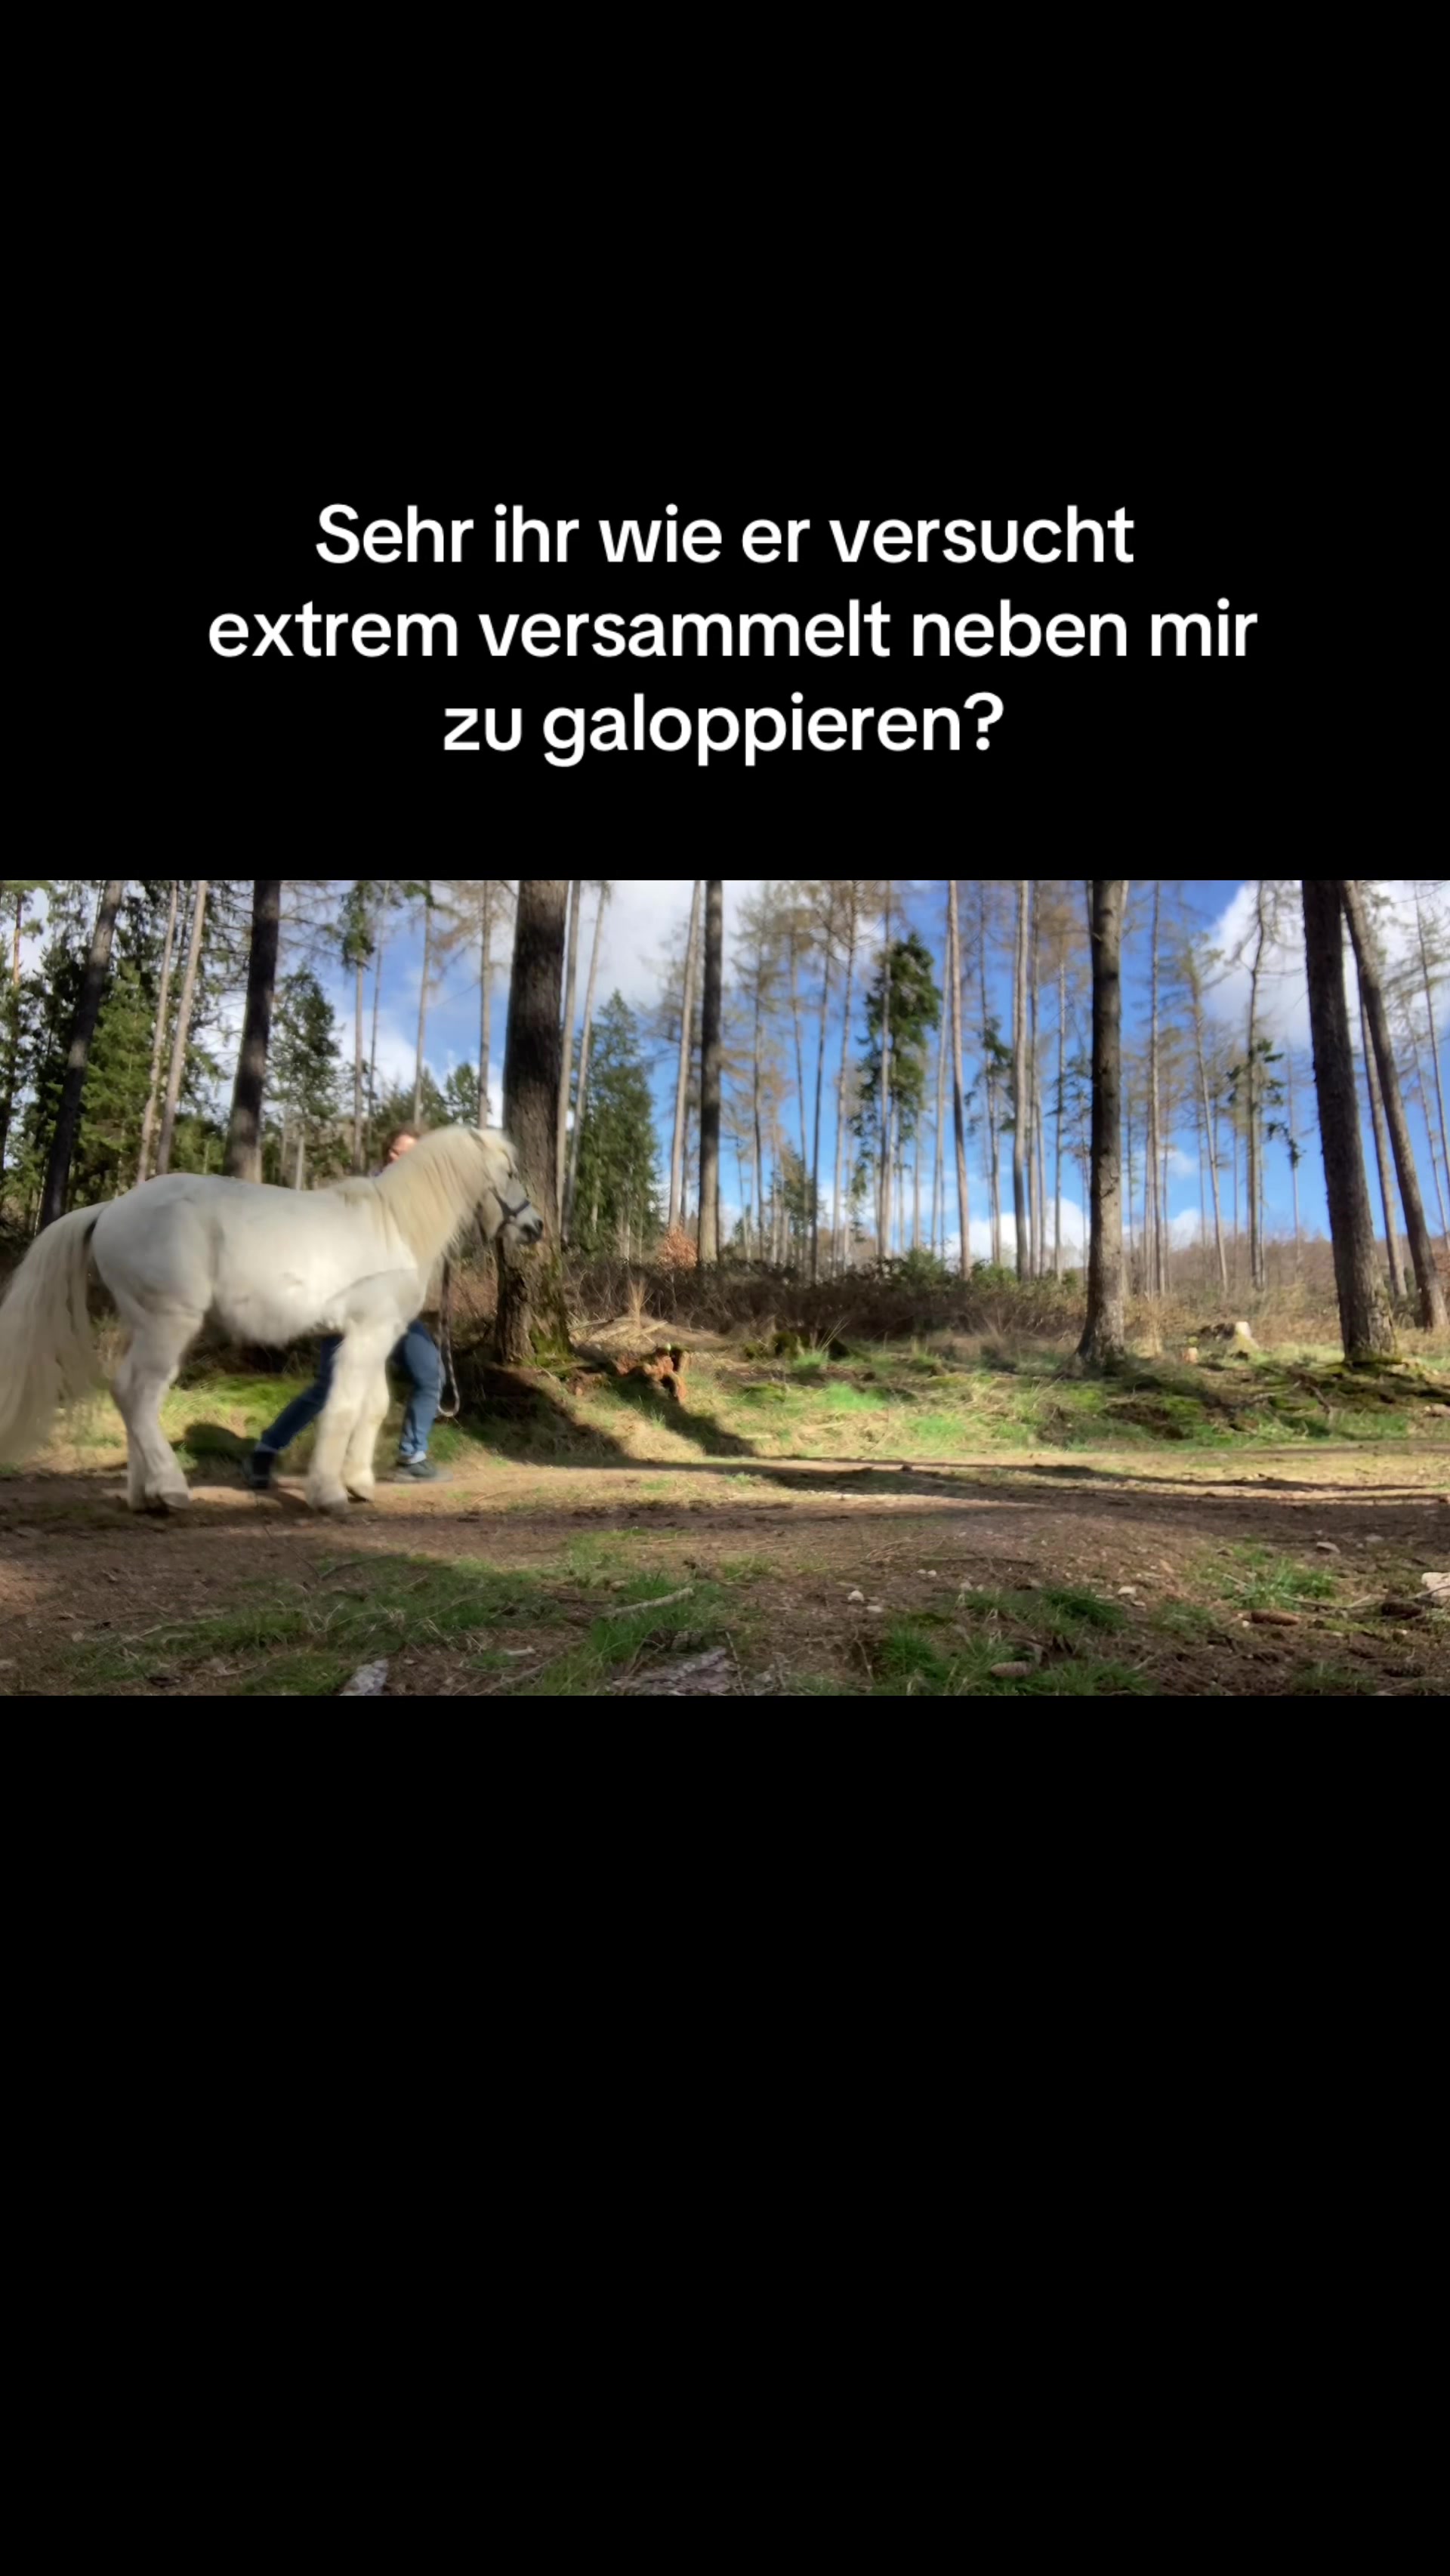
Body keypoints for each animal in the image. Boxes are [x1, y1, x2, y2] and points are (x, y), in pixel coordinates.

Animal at [0, 1126, 543, 1515]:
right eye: (510, 1171)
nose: (535, 1227)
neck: (395, 1226)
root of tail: (112, 1207)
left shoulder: (371, 1335)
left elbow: (372, 1407)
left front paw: (359, 1483)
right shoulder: (368, 1335)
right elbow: (345, 1408)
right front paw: (330, 1495)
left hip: (145, 1324)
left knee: (134, 1398)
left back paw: (144, 1495)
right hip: (169, 1324)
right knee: (136, 1393)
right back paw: (172, 1490)